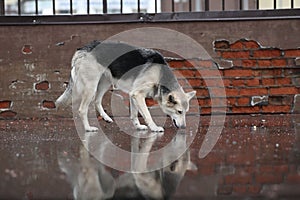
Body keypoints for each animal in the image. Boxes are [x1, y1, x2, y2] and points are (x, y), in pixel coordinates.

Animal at [55, 39, 197, 132]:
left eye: (185, 112)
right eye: (179, 111)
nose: (184, 127)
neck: (160, 75)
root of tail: (83, 49)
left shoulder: (133, 95)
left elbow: (134, 114)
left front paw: (138, 126)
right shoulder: (138, 95)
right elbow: (147, 114)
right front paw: (154, 127)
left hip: (104, 83)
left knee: (97, 101)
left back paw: (106, 117)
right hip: (91, 87)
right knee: (82, 109)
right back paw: (88, 128)